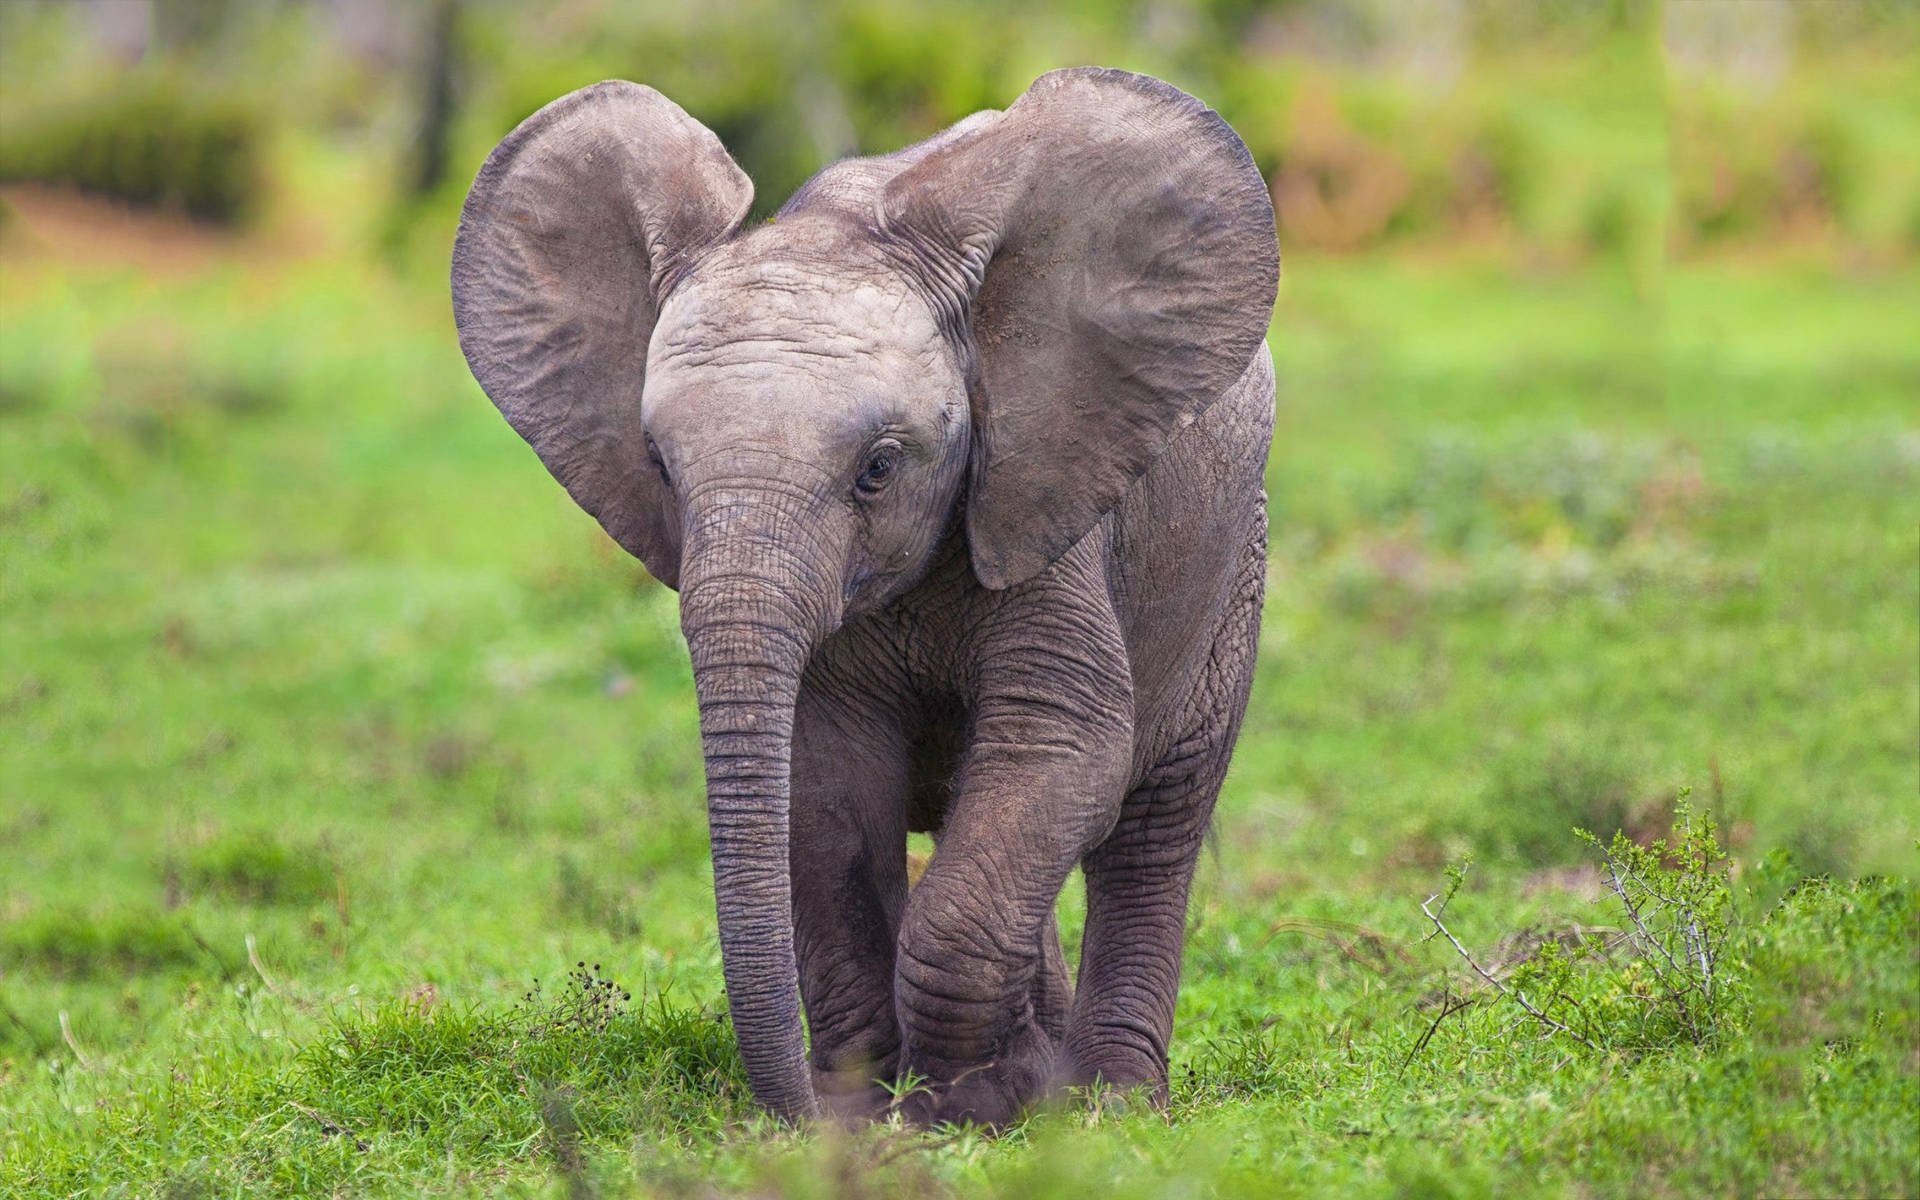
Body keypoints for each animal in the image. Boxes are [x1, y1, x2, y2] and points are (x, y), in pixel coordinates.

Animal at [453, 70, 1274, 1128]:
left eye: (878, 468)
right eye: (660, 467)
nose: (802, 1110)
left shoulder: (1046, 510)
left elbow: (1062, 748)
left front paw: (971, 1103)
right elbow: (828, 788)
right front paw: (883, 1106)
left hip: (1231, 560)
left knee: (1156, 821)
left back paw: (1111, 1100)